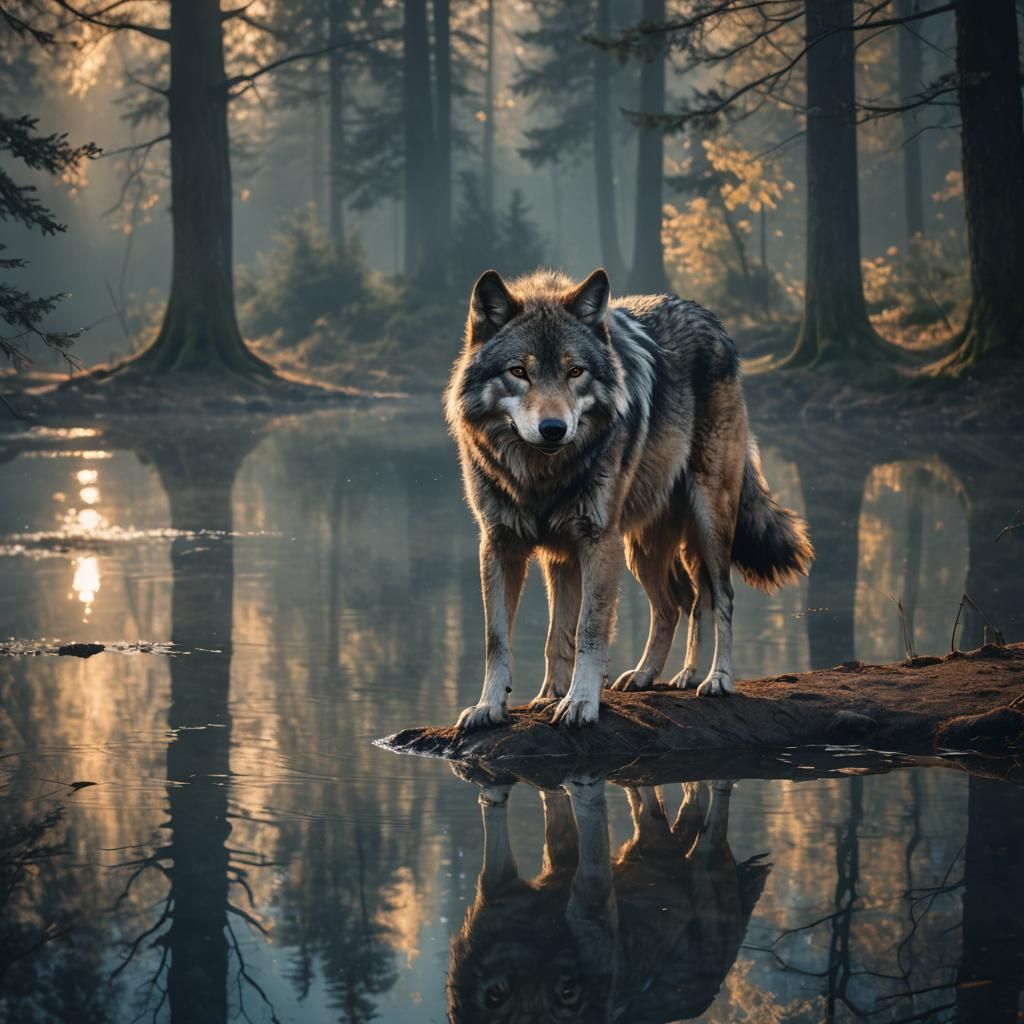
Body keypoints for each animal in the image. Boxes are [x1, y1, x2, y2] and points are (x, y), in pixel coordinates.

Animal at [445, 267, 812, 729]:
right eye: (519, 371)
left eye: (575, 372)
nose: (554, 429)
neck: (541, 476)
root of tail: (710, 318)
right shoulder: (509, 546)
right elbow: (514, 638)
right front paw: (505, 703)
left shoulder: (596, 541)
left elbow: (588, 630)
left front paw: (580, 701)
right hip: (641, 548)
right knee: (680, 602)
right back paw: (655, 674)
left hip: (707, 521)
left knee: (720, 594)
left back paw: (715, 678)